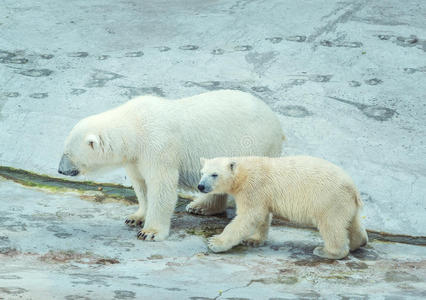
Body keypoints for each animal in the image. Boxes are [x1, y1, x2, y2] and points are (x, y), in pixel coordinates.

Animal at [58, 89, 284, 241]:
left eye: (67, 152)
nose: (60, 169)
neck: (134, 127)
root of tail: (276, 121)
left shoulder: (157, 146)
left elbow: (161, 186)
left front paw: (149, 232)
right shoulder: (135, 157)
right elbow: (141, 185)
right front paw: (136, 217)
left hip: (254, 144)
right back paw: (200, 206)